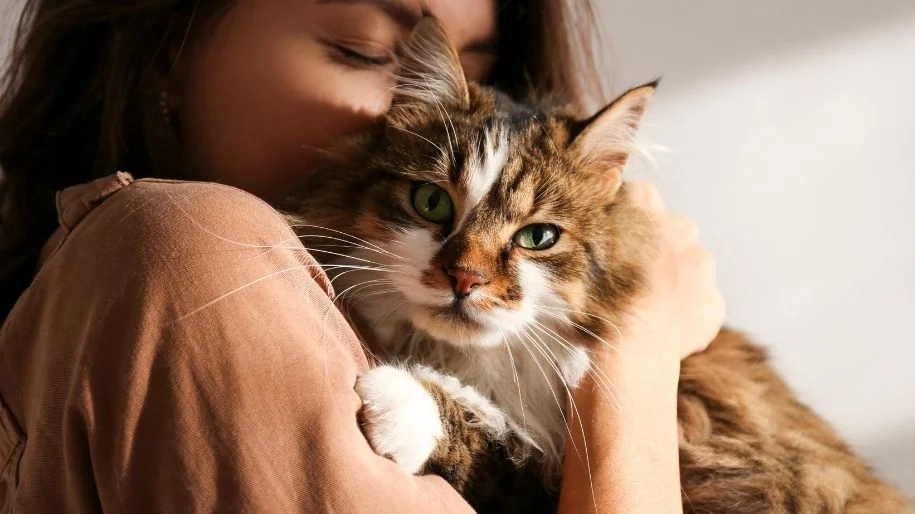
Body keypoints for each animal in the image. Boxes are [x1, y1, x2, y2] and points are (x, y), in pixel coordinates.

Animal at [282, 16, 912, 512]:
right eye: (431, 203)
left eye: (538, 237)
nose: (465, 278)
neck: (478, 364)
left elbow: (492, 438)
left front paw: (400, 402)